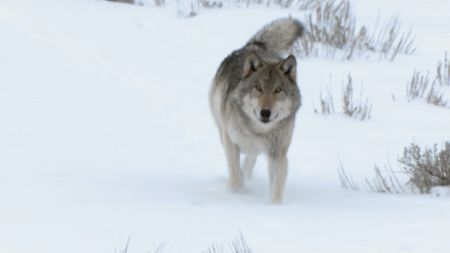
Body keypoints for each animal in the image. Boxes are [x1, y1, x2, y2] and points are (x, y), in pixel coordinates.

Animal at [209, 17, 304, 204]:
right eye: (258, 88)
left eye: (277, 90)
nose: (265, 112)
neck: (258, 131)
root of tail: (254, 46)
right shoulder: (231, 143)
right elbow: (235, 175)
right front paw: (238, 194)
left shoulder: (278, 154)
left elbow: (276, 187)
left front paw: (275, 206)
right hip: (222, 132)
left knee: (251, 159)